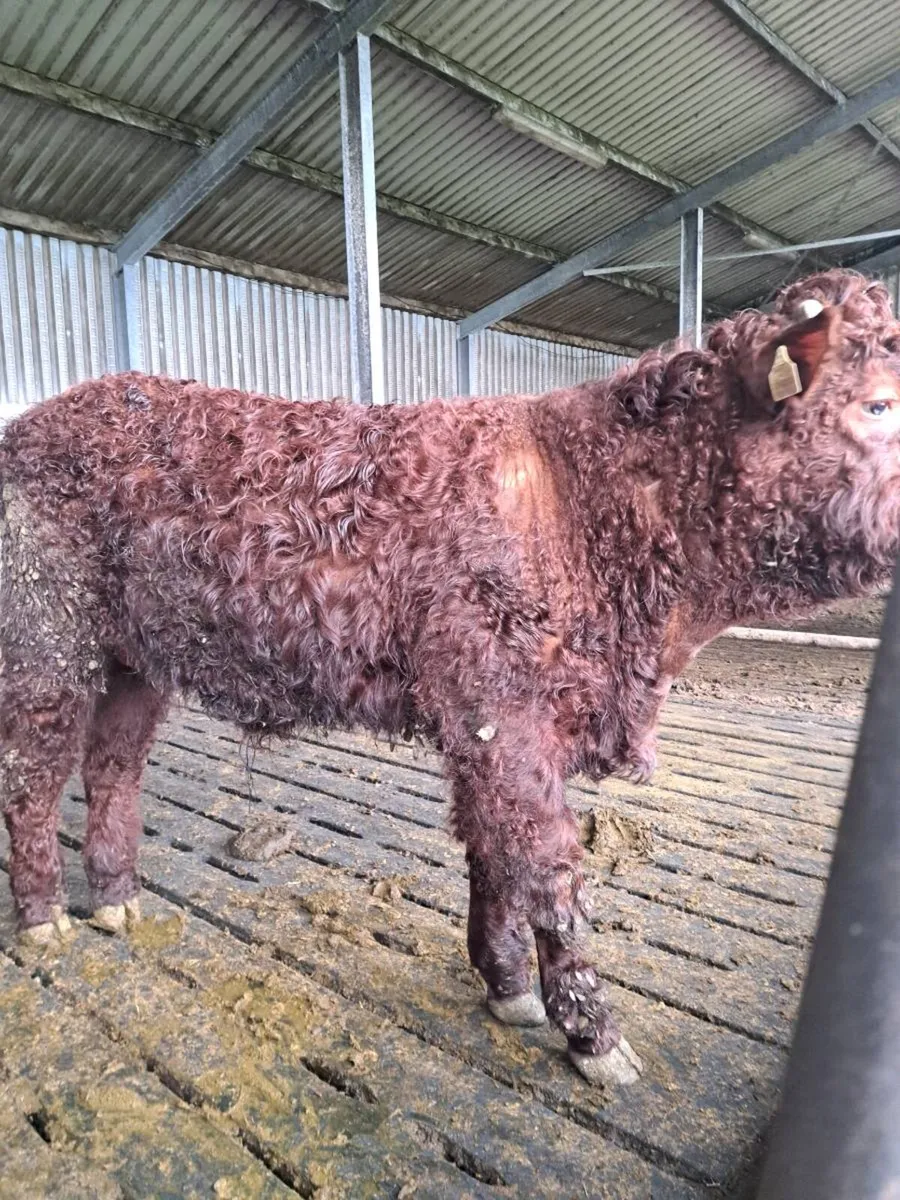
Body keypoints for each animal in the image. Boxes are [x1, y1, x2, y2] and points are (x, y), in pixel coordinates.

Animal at [1, 269, 898, 1087]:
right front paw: (594, 1035)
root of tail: (43, 417)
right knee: (33, 776)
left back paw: (116, 900)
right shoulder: (503, 712)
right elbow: (548, 871)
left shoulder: (483, 724)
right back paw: (45, 920)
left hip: (134, 660)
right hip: (48, 642)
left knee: (112, 766)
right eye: (881, 405)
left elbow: (492, 858)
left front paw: (508, 990)